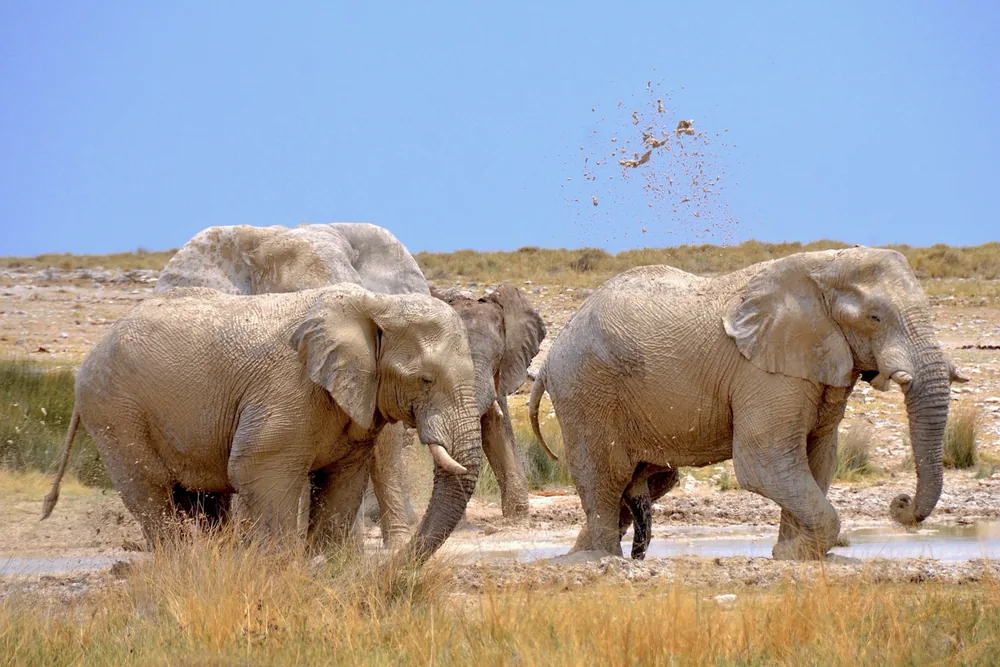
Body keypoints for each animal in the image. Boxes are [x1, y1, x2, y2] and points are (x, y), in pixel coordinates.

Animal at [41, 283, 482, 563]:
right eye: (424, 380)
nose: (391, 566)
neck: (377, 303)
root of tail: (93, 350)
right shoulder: (286, 389)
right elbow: (259, 469)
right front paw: (281, 571)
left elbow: (342, 482)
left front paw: (328, 567)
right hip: (114, 413)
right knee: (150, 490)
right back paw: (183, 566)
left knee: (200, 498)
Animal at [530, 247, 968, 561]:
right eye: (875, 317)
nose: (900, 503)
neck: (824, 266)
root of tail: (552, 355)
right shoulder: (764, 372)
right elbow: (766, 464)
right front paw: (797, 552)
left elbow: (818, 461)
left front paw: (790, 555)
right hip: (586, 390)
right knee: (606, 477)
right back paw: (597, 560)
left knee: (647, 482)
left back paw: (578, 555)